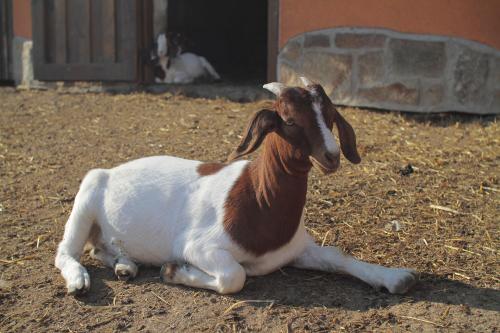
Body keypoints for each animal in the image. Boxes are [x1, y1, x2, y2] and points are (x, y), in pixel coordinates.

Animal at [54, 77, 418, 294]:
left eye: (329, 115)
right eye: (288, 120)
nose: (331, 156)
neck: (258, 199)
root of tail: (113, 170)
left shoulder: (297, 247)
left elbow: (337, 256)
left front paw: (395, 277)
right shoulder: (199, 246)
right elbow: (234, 277)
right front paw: (173, 271)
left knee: (99, 248)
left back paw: (125, 265)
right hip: (86, 197)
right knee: (66, 251)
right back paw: (79, 280)